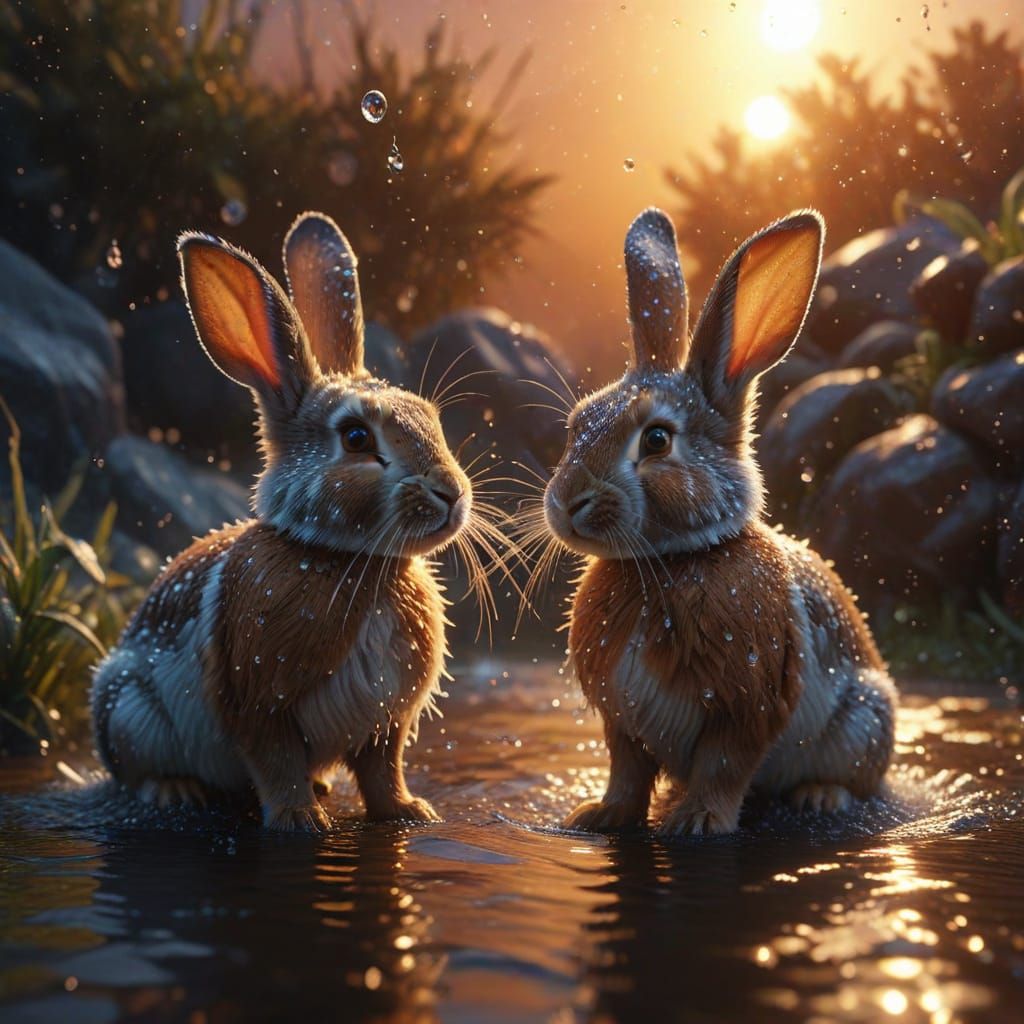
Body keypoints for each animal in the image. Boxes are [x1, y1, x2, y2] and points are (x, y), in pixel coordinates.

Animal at [91, 211, 473, 831]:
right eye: (356, 438)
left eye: (431, 418)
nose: (452, 495)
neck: (348, 559)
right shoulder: (257, 703)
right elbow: (274, 761)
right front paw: (299, 821)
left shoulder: (386, 721)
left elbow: (382, 769)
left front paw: (409, 812)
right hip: (126, 707)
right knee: (135, 769)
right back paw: (177, 792)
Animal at [544, 207, 896, 837]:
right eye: (578, 422)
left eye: (657, 440)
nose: (567, 503)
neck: (673, 561)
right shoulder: (622, 721)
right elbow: (627, 770)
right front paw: (601, 816)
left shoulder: (746, 708)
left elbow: (725, 767)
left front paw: (698, 823)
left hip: (864, 720)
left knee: (857, 779)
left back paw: (820, 797)